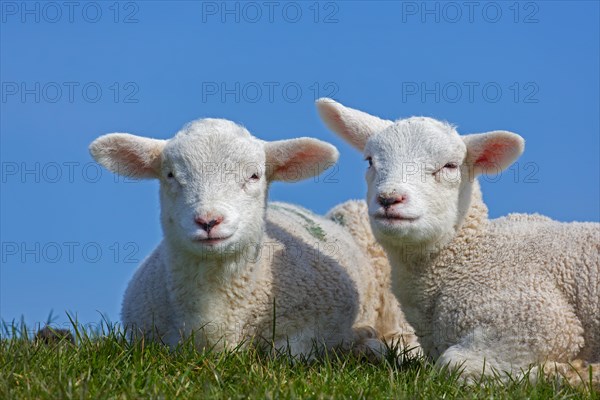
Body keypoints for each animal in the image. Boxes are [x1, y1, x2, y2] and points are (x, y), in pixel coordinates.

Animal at [90, 117, 418, 358]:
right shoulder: (145, 337)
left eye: (254, 176)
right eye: (170, 175)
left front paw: (357, 342)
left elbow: (284, 354)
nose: (209, 220)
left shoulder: (318, 323)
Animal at [316, 97, 596, 388]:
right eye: (370, 161)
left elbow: (451, 363)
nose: (389, 198)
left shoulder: (539, 321)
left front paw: (561, 373)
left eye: (450, 166)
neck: (470, 255)